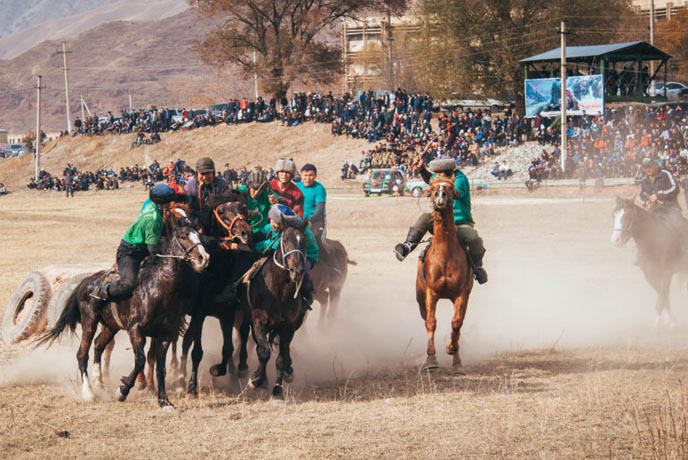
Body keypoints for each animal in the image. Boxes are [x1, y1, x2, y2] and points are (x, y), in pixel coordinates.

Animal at [37, 208, 210, 410]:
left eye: (198, 235)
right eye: (183, 236)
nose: (204, 258)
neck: (158, 288)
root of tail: (86, 282)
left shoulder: (165, 335)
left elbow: (160, 368)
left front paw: (164, 401)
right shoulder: (135, 330)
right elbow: (140, 360)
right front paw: (123, 390)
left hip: (110, 326)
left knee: (98, 345)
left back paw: (99, 382)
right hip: (90, 322)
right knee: (82, 354)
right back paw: (88, 392)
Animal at [242, 219, 306, 398]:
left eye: (304, 241)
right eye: (285, 240)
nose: (297, 271)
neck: (278, 291)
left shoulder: (288, 326)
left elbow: (281, 359)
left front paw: (277, 389)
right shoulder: (258, 321)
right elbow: (263, 352)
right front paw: (256, 380)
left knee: (286, 350)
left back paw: (288, 371)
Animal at [416, 176, 476, 374]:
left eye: (450, 188)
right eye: (432, 187)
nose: (440, 195)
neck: (445, 254)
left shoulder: (461, 294)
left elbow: (456, 323)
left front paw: (452, 350)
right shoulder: (431, 293)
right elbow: (431, 322)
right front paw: (431, 360)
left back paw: (457, 361)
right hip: (420, 298)